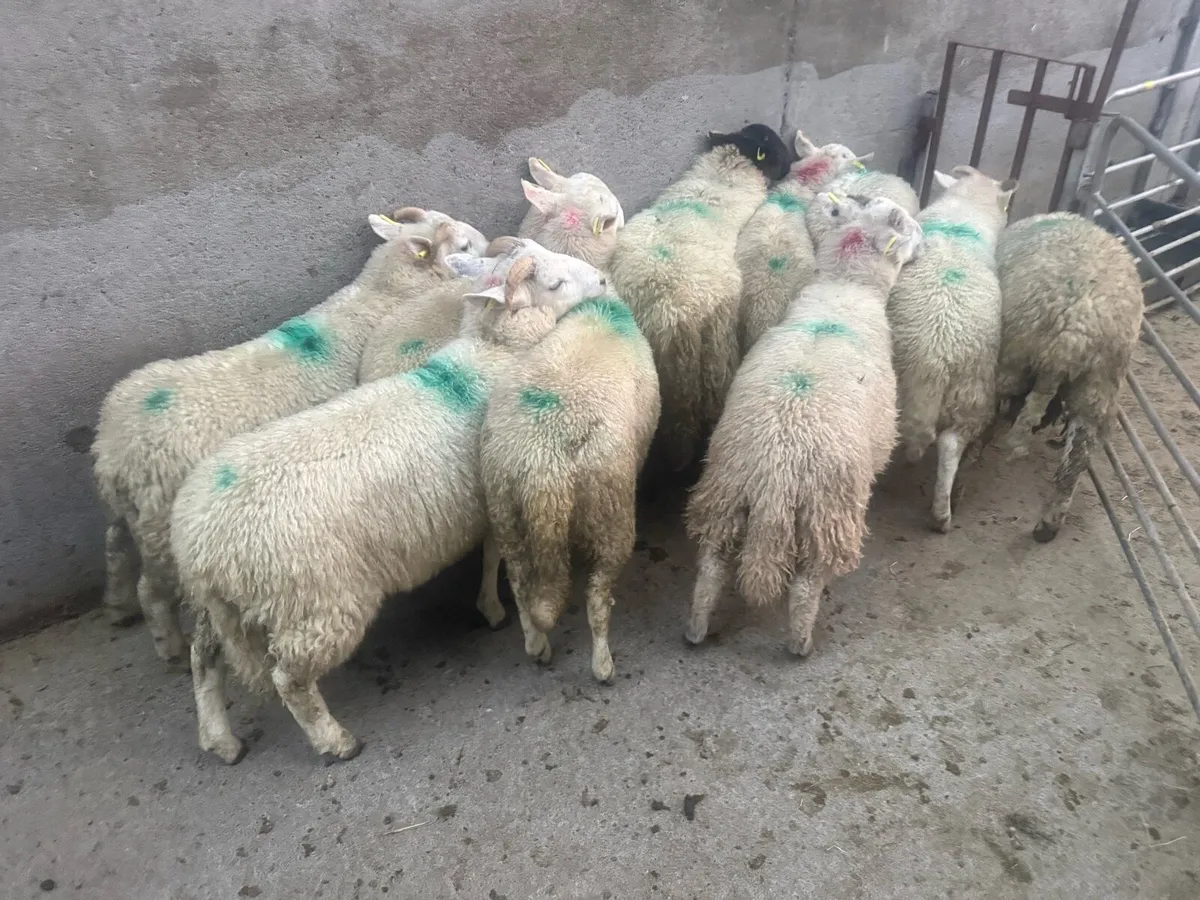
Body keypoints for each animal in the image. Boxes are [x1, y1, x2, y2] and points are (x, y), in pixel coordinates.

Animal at [92, 209, 487, 665]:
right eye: (462, 246)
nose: (491, 242)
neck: (378, 296)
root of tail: (112, 449)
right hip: (159, 529)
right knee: (153, 590)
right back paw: (168, 646)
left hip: (131, 515)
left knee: (114, 544)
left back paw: (117, 608)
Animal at [170, 241, 609, 764]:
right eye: (554, 283)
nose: (603, 281)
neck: (491, 353)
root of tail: (201, 545)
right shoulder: (493, 501)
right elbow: (492, 560)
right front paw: (498, 613)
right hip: (316, 602)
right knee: (288, 679)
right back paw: (335, 741)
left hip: (222, 608)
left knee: (203, 657)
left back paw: (219, 738)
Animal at [480, 293, 660, 683]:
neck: (600, 308)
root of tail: (543, 475)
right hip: (610, 511)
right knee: (597, 600)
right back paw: (602, 666)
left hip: (504, 508)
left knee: (519, 583)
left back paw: (536, 645)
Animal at [684, 194, 923, 657]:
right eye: (910, 228)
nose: (927, 244)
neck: (843, 292)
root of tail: (777, 467)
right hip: (826, 511)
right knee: (807, 583)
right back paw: (800, 643)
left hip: (724, 493)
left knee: (710, 568)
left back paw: (696, 629)